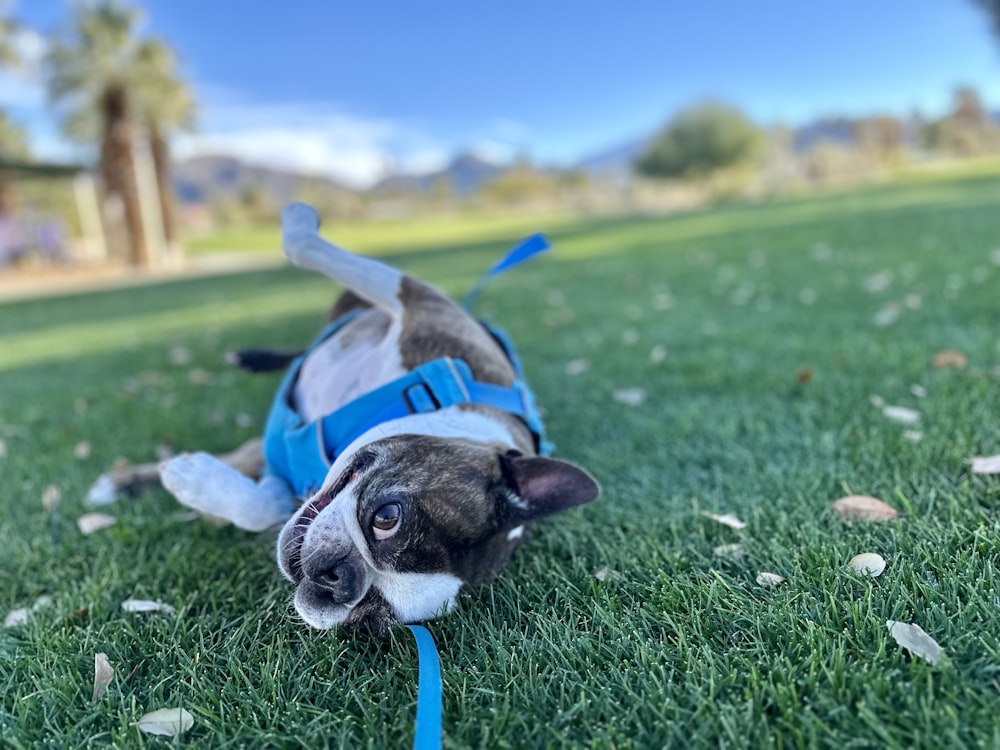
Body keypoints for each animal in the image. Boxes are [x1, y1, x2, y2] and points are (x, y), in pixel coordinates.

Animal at [110, 204, 596, 636]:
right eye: (387, 517)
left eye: (372, 616)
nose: (340, 580)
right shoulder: (414, 299)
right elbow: (304, 244)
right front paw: (299, 216)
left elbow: (262, 505)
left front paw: (195, 480)